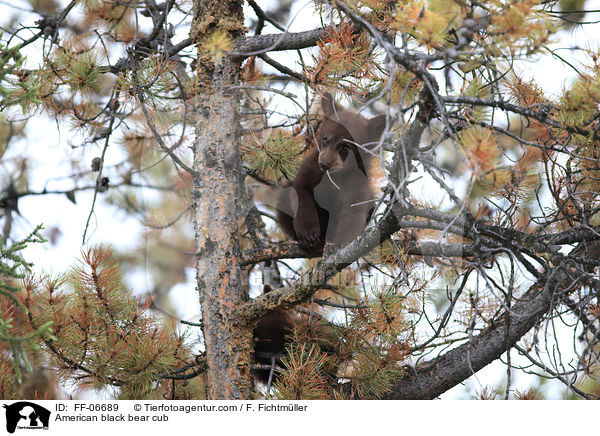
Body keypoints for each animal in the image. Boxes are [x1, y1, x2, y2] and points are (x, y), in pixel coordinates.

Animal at [278, 93, 386, 254]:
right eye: (325, 139)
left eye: (345, 147)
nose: (324, 164)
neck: (337, 175)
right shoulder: (311, 168)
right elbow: (300, 189)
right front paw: (308, 232)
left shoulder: (358, 182)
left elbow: (353, 213)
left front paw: (339, 243)